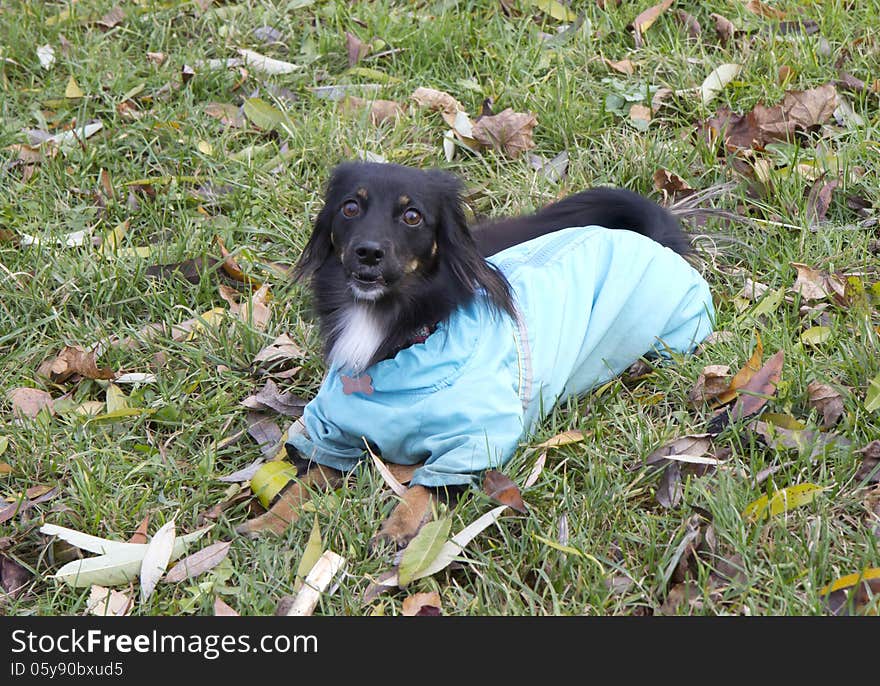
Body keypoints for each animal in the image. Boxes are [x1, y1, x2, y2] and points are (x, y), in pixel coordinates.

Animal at [276, 161, 716, 548]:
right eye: (350, 207)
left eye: (413, 216)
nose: (368, 252)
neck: (399, 335)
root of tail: (653, 239)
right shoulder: (332, 431)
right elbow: (306, 479)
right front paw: (270, 522)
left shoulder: (477, 441)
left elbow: (426, 489)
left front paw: (398, 526)